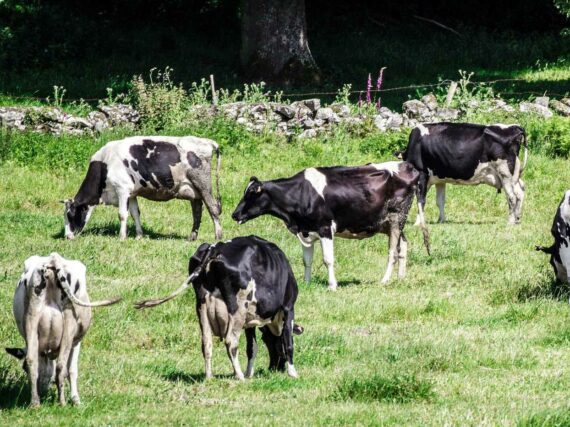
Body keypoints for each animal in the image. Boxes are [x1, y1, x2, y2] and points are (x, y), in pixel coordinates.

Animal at [5, 254, 121, 408]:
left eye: (22, 368)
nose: (42, 390)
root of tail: (53, 260)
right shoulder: (76, 342)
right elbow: (72, 369)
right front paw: (76, 400)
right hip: (69, 322)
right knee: (61, 365)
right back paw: (62, 402)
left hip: (31, 316)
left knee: (31, 359)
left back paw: (35, 403)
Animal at [62, 138, 222, 244]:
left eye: (70, 215)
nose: (67, 236)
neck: (105, 163)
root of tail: (207, 141)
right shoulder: (132, 193)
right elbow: (135, 214)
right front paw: (139, 236)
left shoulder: (122, 189)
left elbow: (122, 215)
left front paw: (122, 237)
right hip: (194, 191)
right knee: (197, 212)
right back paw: (192, 237)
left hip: (203, 184)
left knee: (212, 208)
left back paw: (218, 237)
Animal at [134, 237, 302, 382]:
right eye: (270, 342)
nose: (275, 368)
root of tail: (216, 247)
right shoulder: (288, 307)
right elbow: (288, 342)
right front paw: (293, 373)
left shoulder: (250, 320)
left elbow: (251, 348)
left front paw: (250, 373)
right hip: (237, 308)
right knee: (230, 341)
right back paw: (239, 376)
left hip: (201, 305)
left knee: (206, 342)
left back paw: (210, 377)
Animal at [229, 161, 428, 290]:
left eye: (252, 194)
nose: (234, 214)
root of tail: (409, 166)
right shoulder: (305, 230)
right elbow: (306, 260)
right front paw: (307, 283)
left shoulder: (325, 228)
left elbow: (328, 259)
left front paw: (332, 285)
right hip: (389, 223)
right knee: (403, 244)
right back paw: (400, 278)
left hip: (397, 217)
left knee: (392, 251)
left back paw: (385, 280)